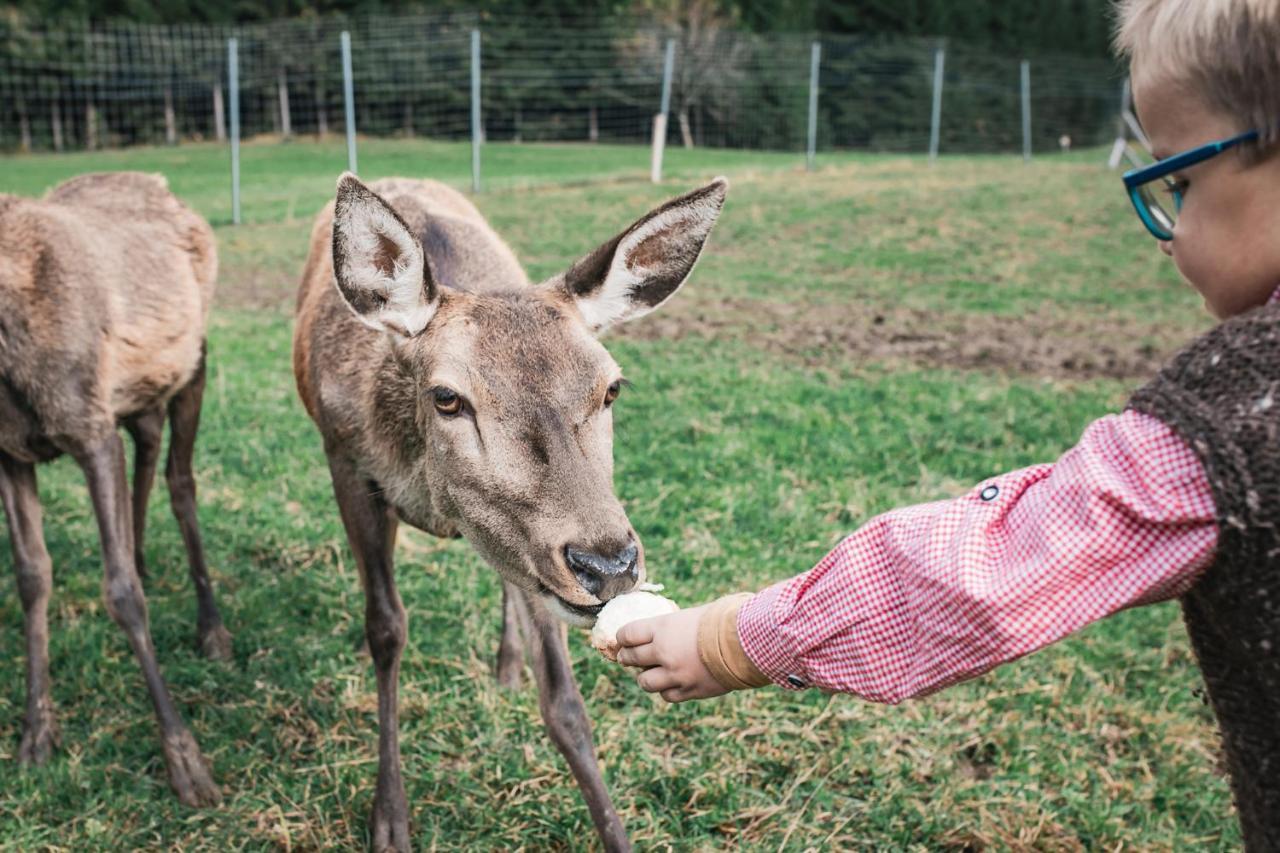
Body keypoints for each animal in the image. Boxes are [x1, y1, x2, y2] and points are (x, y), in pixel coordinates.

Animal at [1, 171, 230, 804]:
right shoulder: (9, 451)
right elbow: (32, 576)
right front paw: (36, 731)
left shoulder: (89, 426)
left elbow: (121, 591)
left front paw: (186, 760)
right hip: (138, 388)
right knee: (147, 447)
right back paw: (145, 553)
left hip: (194, 361)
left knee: (180, 481)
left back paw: (212, 626)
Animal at [293, 174, 727, 850]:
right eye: (447, 397)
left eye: (612, 387)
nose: (608, 564)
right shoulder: (346, 461)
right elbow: (386, 630)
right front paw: (388, 818)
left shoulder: (534, 558)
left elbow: (565, 702)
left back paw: (507, 663)